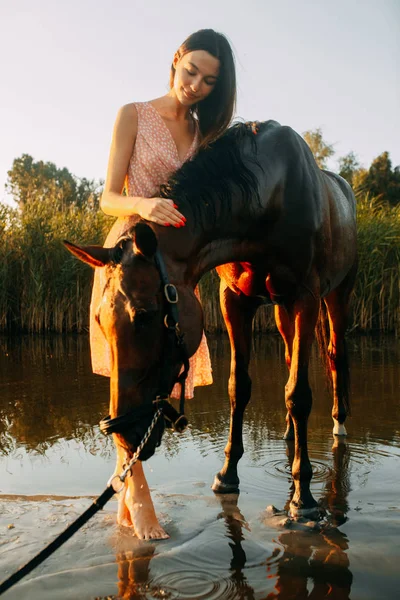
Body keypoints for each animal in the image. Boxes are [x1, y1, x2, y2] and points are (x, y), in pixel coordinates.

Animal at [65, 119, 356, 540]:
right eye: (100, 321)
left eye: (145, 314)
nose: (124, 433)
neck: (271, 195)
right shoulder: (234, 300)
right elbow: (240, 387)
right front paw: (227, 474)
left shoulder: (306, 296)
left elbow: (299, 394)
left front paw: (303, 500)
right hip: (282, 310)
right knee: (290, 357)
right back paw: (289, 433)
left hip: (336, 296)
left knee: (336, 356)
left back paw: (339, 423)